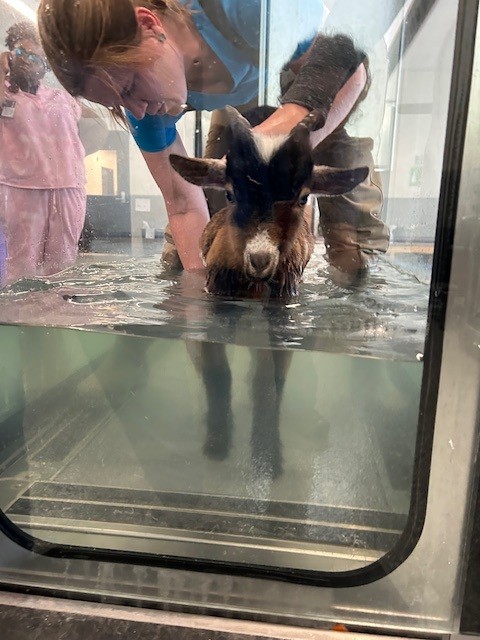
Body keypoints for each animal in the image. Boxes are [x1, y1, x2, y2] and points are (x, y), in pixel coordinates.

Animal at [169, 107, 368, 478]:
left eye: (303, 197)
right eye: (231, 194)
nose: (260, 258)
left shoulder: (281, 321)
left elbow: (268, 384)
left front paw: (267, 455)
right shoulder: (214, 309)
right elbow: (218, 374)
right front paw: (217, 443)